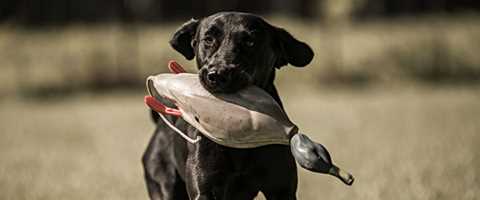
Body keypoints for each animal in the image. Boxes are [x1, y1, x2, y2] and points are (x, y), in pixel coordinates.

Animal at [142, 11, 316, 199]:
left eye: (250, 42)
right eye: (208, 39)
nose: (217, 74)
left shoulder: (281, 189)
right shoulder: (204, 188)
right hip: (164, 183)